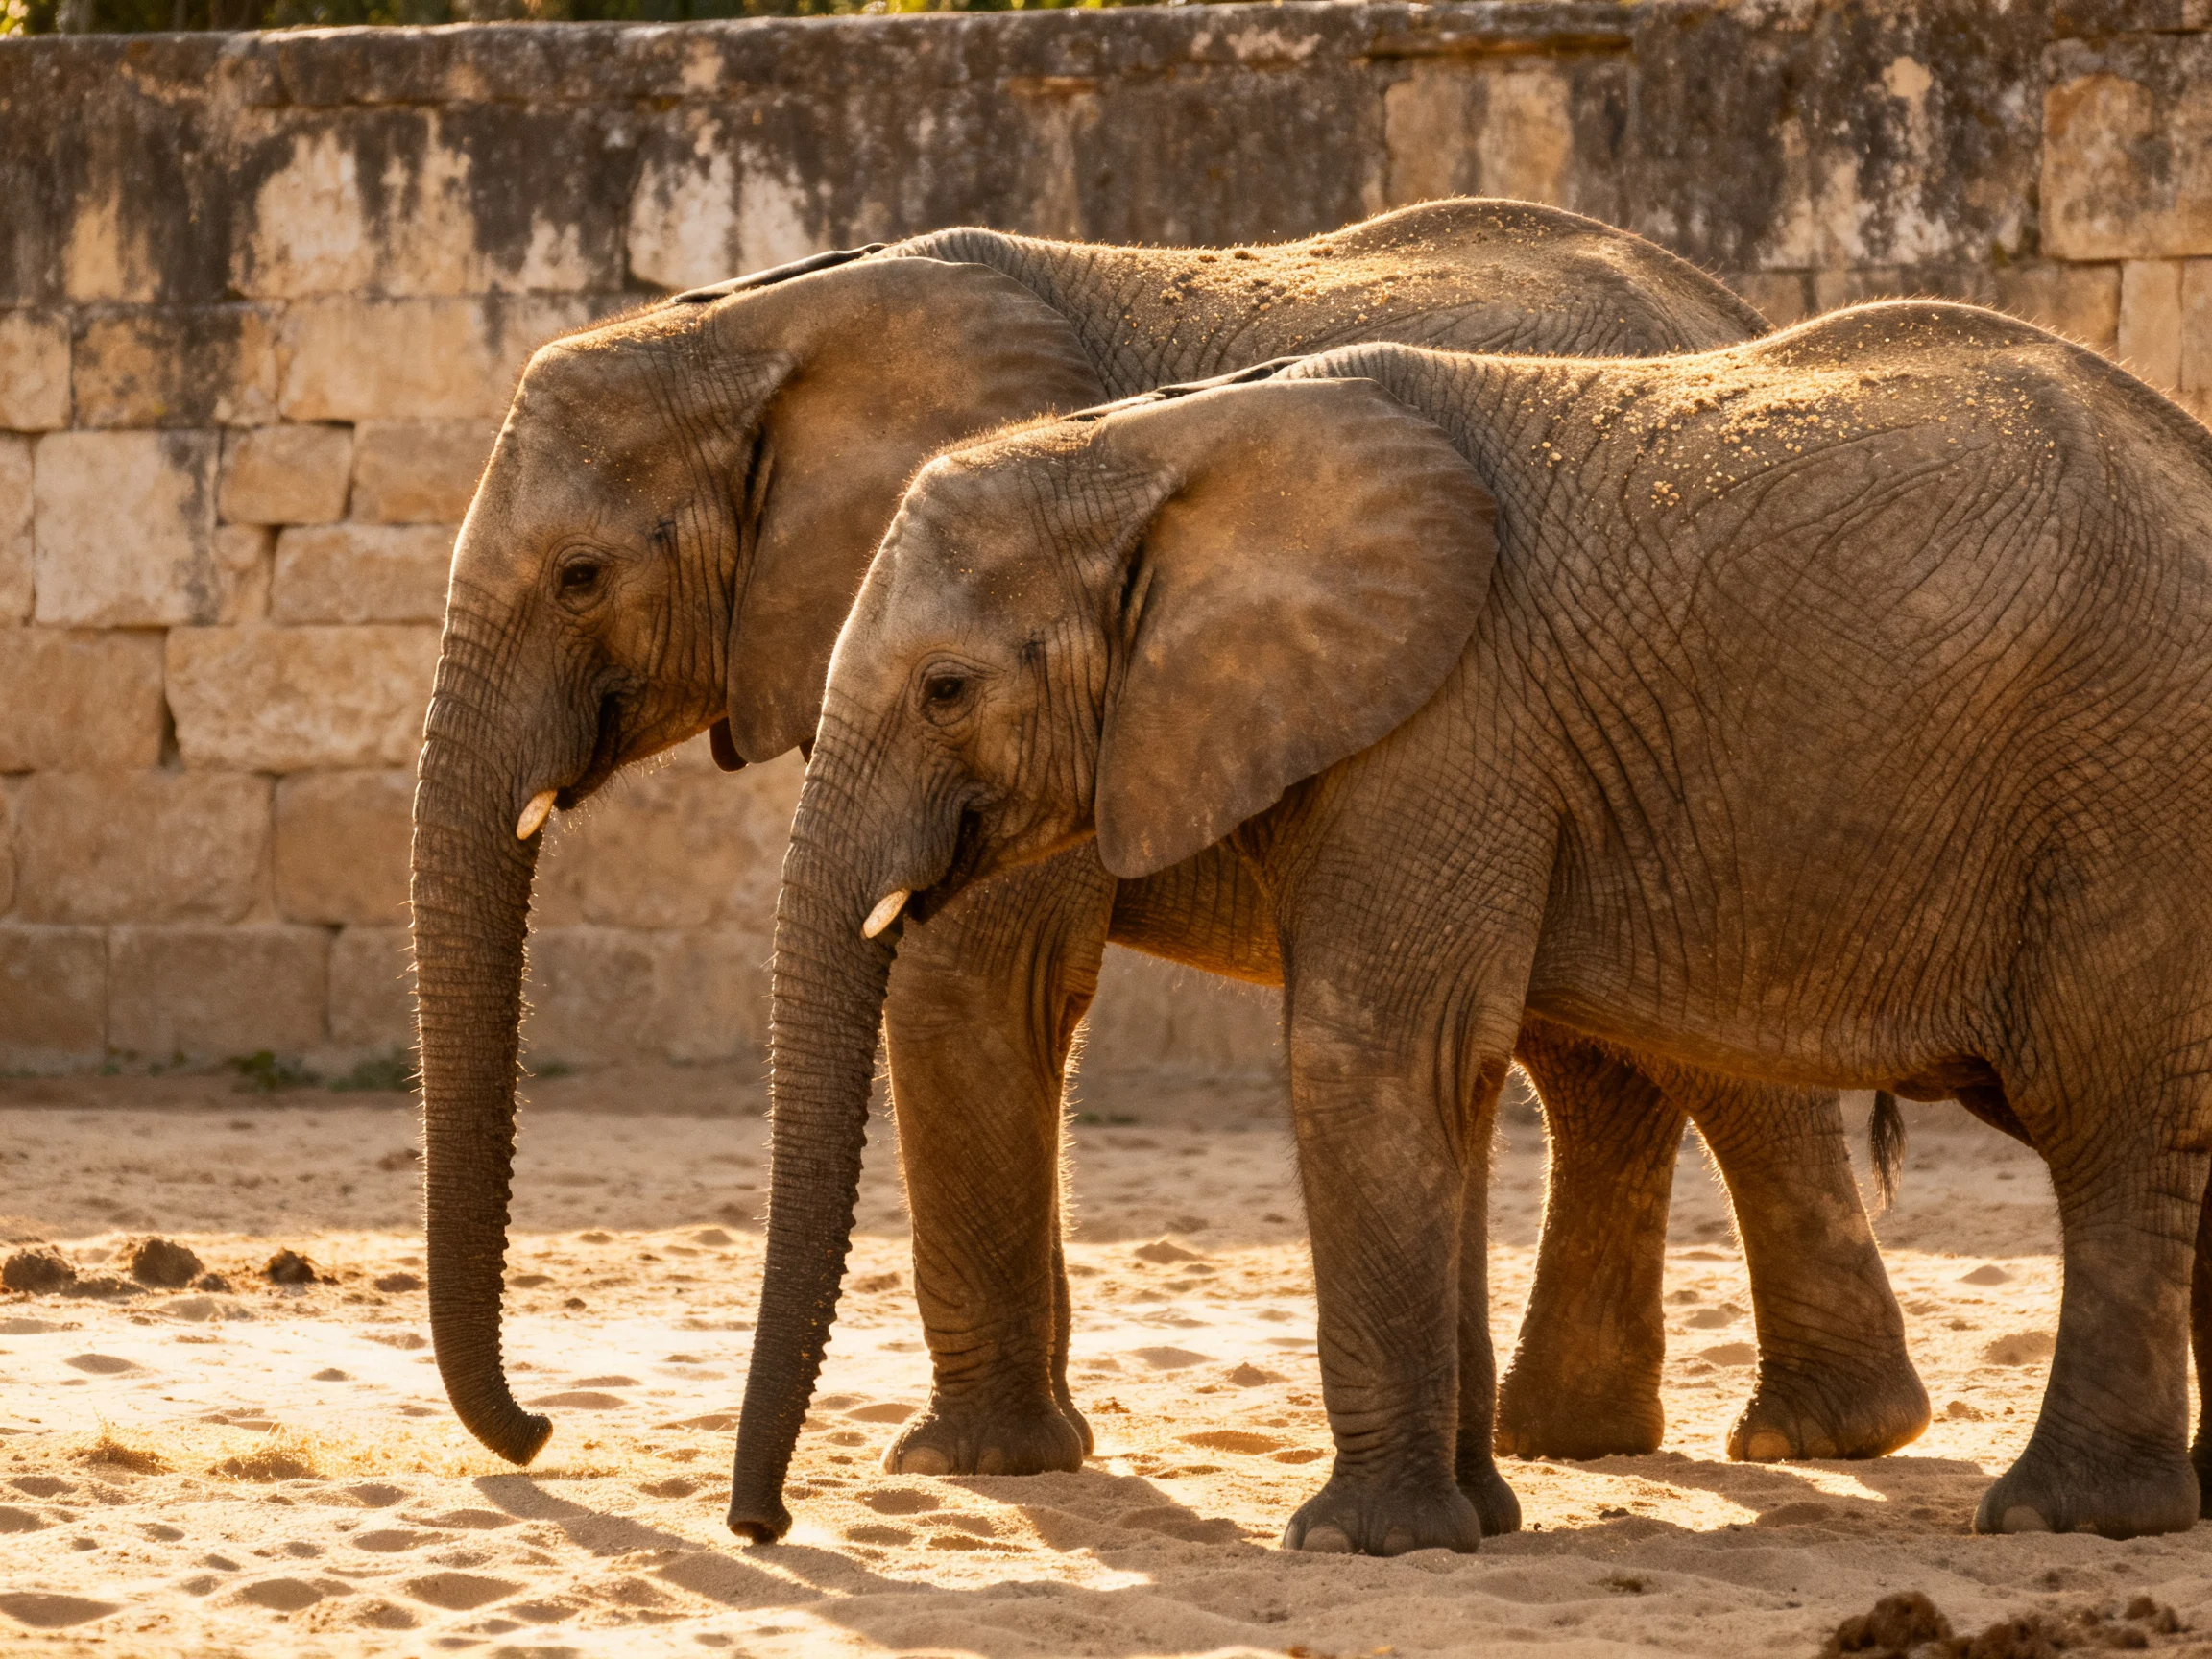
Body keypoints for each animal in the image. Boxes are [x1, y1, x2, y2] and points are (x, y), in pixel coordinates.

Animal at [411, 198, 1924, 1508]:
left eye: (580, 577)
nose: (537, 1434)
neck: (767, 321)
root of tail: (1732, 309)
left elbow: (966, 977)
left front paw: (974, 1464)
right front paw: (1028, 1453)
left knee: (1722, 1054)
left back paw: (1817, 1437)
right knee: (1592, 1060)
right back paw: (1567, 1441)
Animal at [750, 300, 2212, 1551]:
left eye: (945, 690)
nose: (764, 1524)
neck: (1149, 448)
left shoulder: (1449, 723)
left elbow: (1375, 1056)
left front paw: (1357, 1544)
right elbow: (1444, 1081)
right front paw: (1476, 1524)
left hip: (2130, 791)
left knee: (2107, 1112)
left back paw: (2064, 1515)